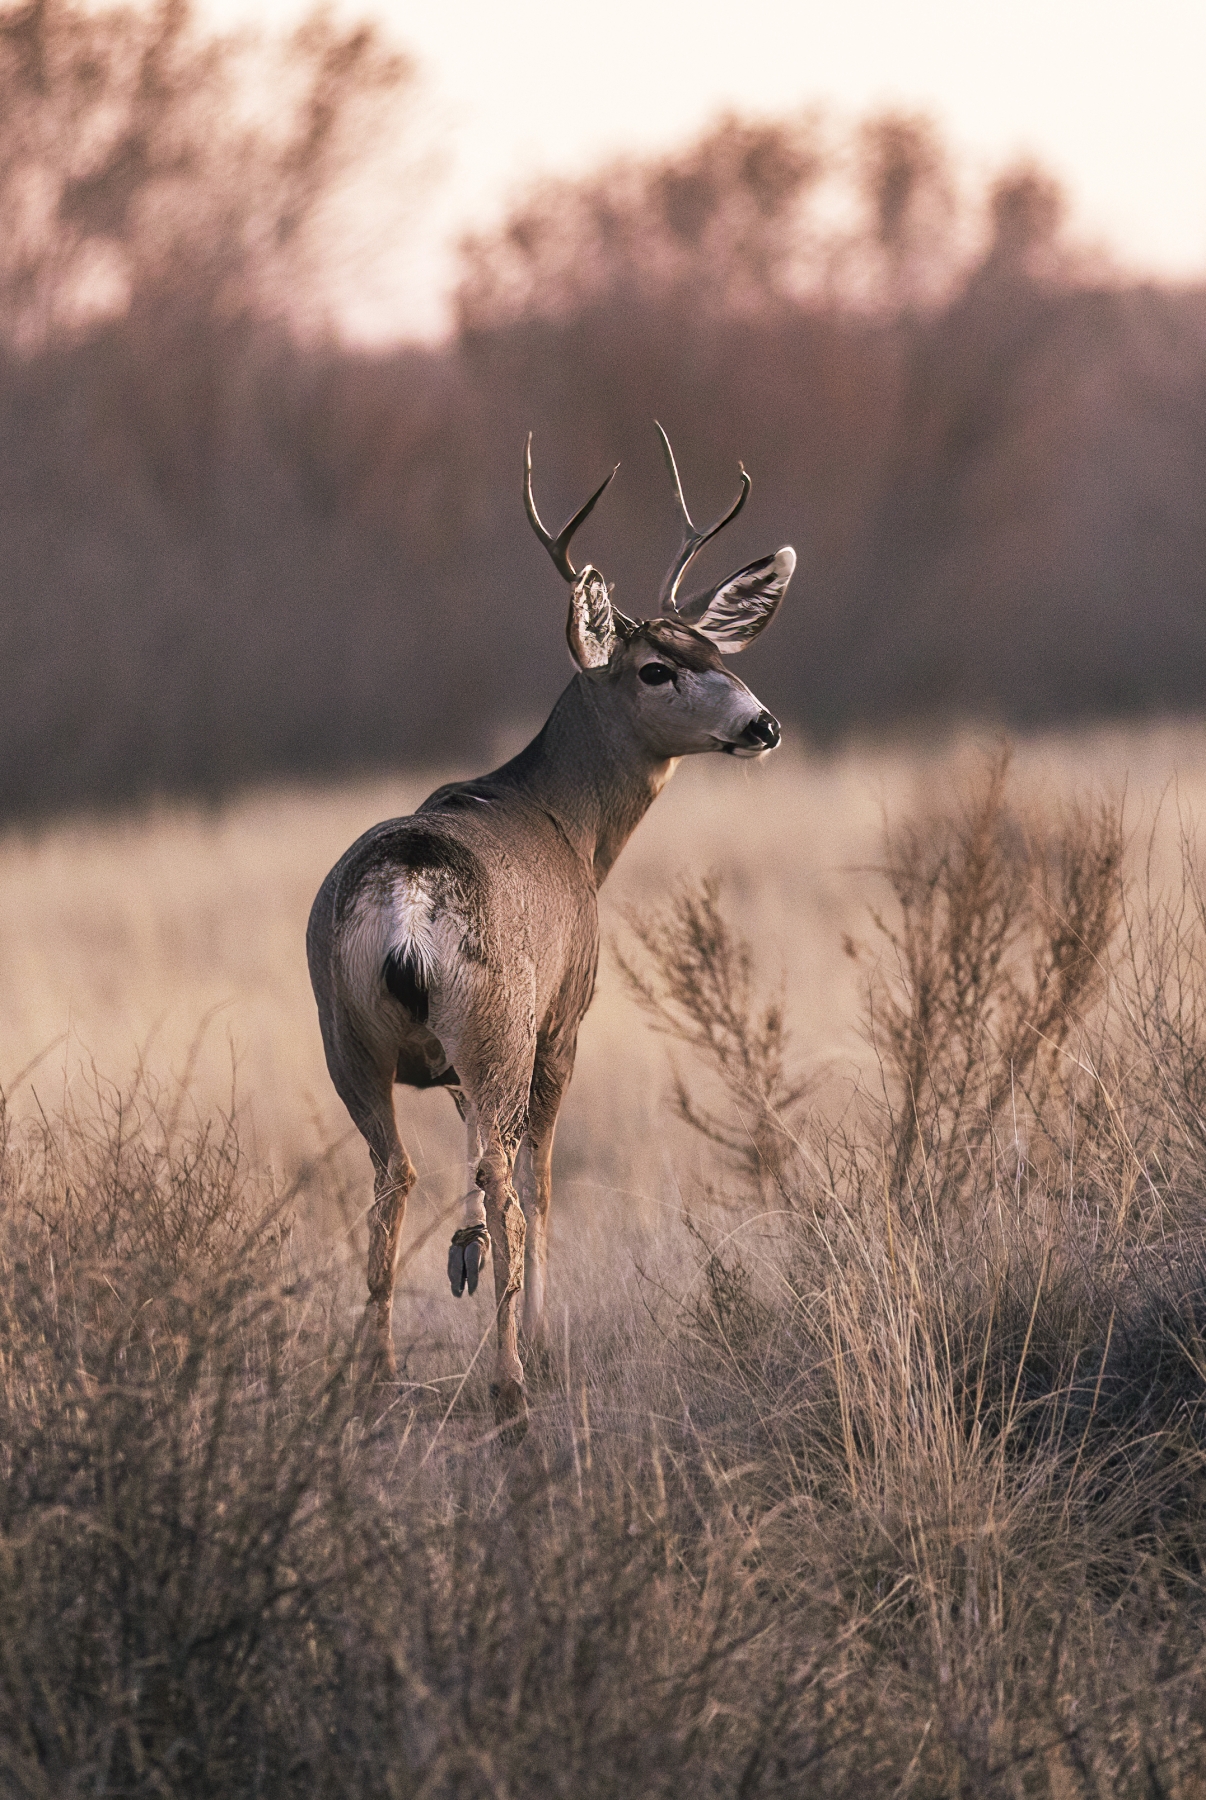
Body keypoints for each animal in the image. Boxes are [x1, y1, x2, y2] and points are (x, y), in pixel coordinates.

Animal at [306, 425, 794, 1437]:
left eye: (715, 649)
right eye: (655, 667)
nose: (762, 724)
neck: (568, 824)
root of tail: (408, 893)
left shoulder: (453, 1069)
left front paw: (468, 1271)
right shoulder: (565, 1017)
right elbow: (541, 1178)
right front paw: (540, 1333)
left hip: (349, 1032)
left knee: (395, 1174)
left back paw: (376, 1382)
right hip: (499, 1022)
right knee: (507, 1181)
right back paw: (511, 1385)